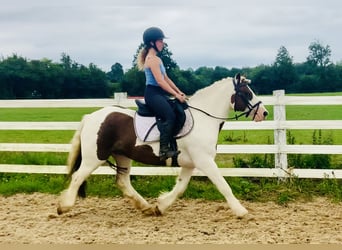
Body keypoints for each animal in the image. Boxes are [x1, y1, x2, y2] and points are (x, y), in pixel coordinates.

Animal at [57, 73, 268, 218]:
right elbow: (223, 186)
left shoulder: (190, 164)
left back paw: (146, 207)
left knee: (122, 181)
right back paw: (63, 207)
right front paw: (241, 211)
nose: (264, 113)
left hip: (122, 156)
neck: (204, 119)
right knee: (77, 177)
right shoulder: (205, 161)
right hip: (94, 157)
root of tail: (91, 116)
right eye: (247, 93)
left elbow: (181, 187)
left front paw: (161, 206)